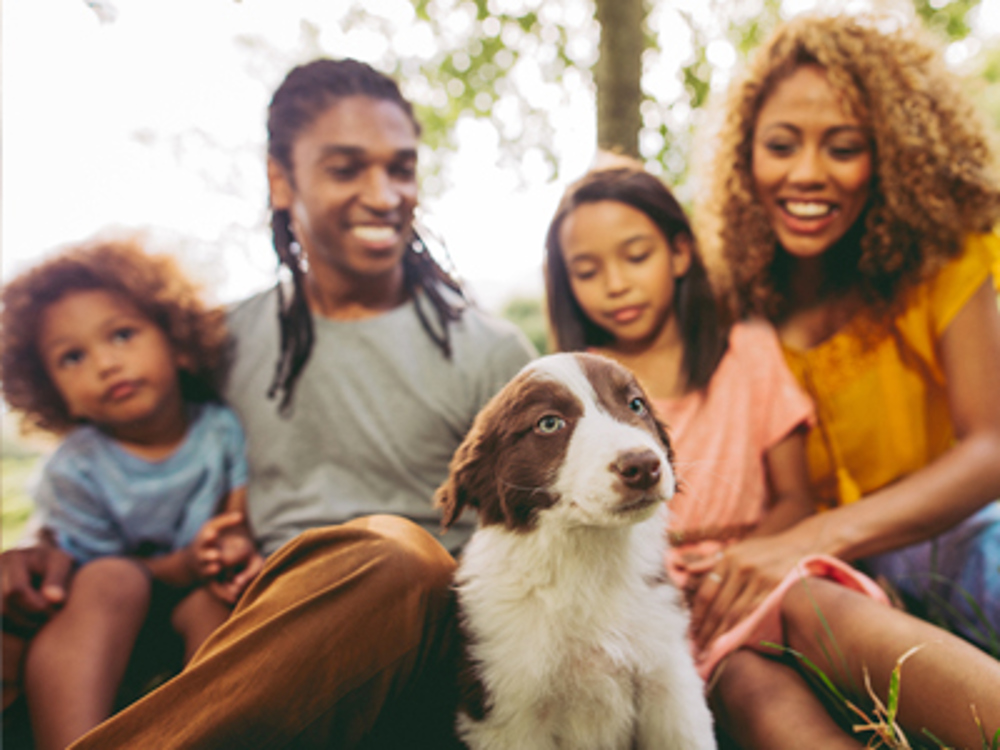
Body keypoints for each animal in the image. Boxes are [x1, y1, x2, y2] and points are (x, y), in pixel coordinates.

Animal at [438, 352, 720, 750]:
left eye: (636, 405)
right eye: (549, 423)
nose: (643, 465)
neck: (588, 559)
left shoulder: (669, 681)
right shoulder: (508, 712)